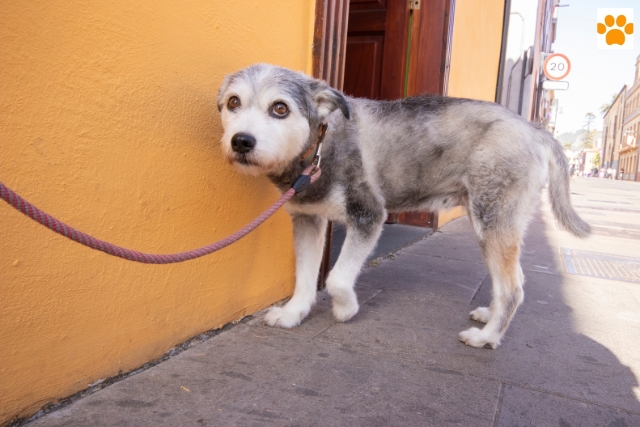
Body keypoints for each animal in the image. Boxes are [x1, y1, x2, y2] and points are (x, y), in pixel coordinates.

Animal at [216, 64, 592, 352]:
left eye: (280, 108)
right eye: (233, 102)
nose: (242, 141)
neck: (320, 149)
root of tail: (534, 129)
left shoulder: (369, 216)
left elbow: (336, 279)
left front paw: (346, 309)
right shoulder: (308, 219)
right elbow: (306, 278)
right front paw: (293, 314)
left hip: (494, 222)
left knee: (513, 287)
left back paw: (486, 338)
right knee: (508, 283)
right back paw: (488, 317)